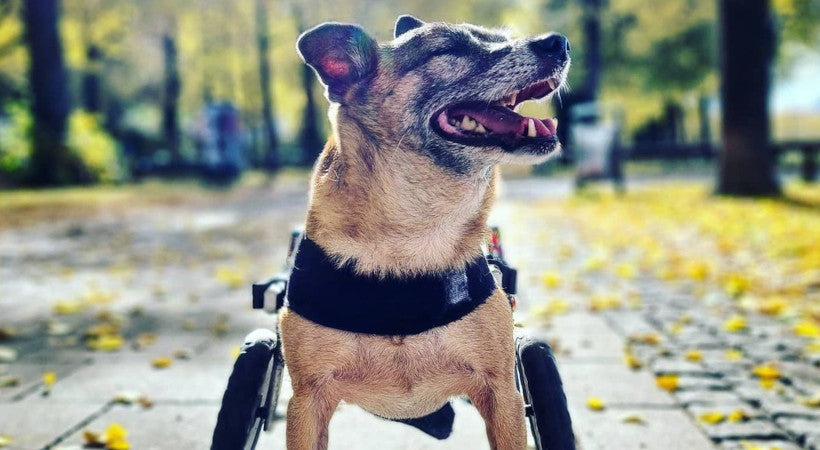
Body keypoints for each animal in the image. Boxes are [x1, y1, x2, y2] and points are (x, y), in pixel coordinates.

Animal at [278, 14, 568, 450]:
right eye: (448, 49)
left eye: (502, 38)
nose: (559, 42)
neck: (414, 230)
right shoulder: (307, 402)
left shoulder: (503, 394)